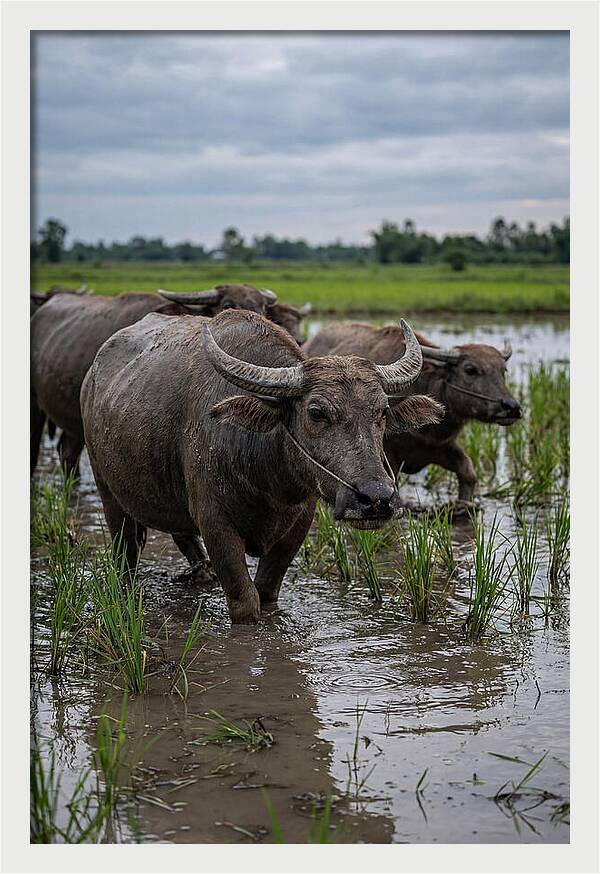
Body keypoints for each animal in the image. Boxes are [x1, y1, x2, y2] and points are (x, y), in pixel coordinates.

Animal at [81, 311, 443, 623]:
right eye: (316, 413)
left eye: (382, 411)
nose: (376, 498)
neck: (269, 480)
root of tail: (91, 377)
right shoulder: (216, 524)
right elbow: (246, 603)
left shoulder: (298, 525)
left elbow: (267, 594)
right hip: (107, 490)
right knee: (125, 552)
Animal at [304, 322, 521, 506]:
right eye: (470, 370)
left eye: (503, 370)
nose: (511, 407)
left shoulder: (441, 446)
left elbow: (468, 472)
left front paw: (464, 506)